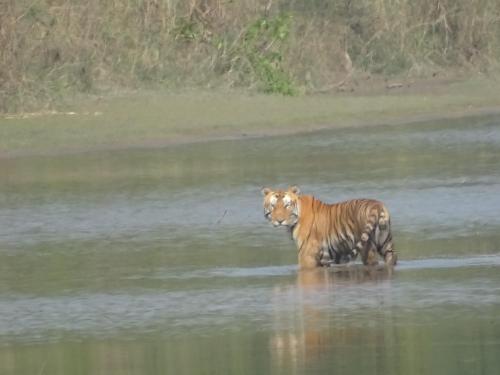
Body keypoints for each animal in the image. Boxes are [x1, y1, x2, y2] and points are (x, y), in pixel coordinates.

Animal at [262, 187, 398, 268]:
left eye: (287, 205)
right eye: (273, 206)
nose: (279, 221)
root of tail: (377, 206)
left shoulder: (307, 254)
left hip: (367, 248)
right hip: (386, 244)